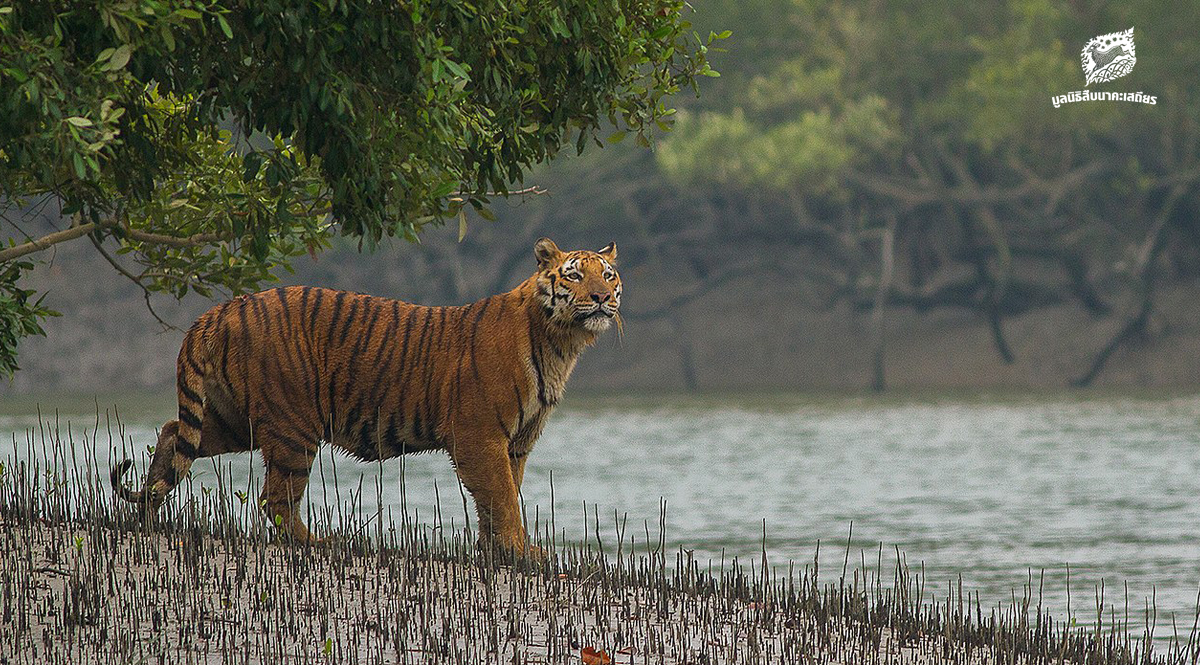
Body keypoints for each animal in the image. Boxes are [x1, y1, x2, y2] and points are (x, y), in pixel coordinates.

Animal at [108, 235, 624, 552]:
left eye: (609, 275)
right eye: (575, 276)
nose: (602, 298)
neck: (561, 342)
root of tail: (221, 309)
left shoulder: (517, 441)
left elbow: (500, 496)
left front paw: (495, 551)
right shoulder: (480, 435)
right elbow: (501, 496)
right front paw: (522, 552)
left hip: (235, 419)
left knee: (173, 433)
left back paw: (147, 511)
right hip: (293, 425)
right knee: (276, 498)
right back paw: (317, 543)